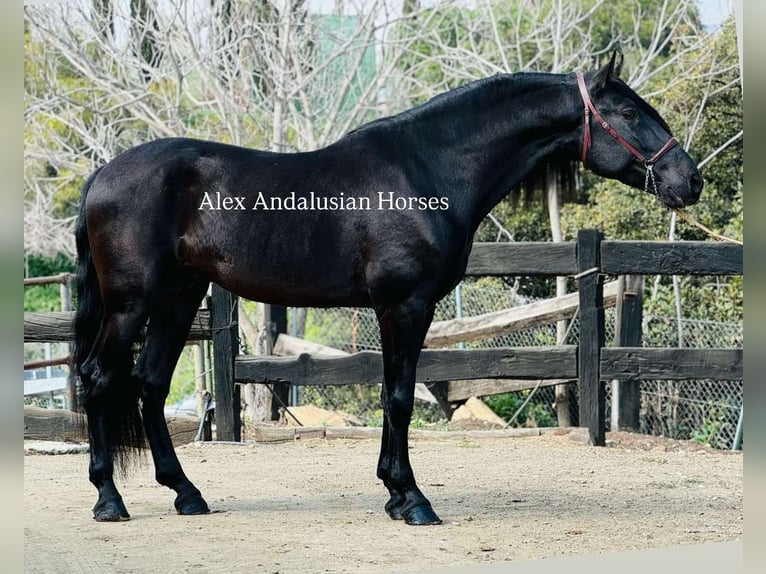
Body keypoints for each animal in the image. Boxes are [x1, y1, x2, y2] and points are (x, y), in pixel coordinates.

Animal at [70, 53, 704, 528]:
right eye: (629, 111)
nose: (689, 181)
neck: (428, 168)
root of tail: (100, 177)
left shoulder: (395, 310)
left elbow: (389, 393)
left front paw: (394, 494)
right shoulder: (406, 305)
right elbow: (398, 397)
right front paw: (413, 499)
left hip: (178, 299)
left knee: (149, 384)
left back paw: (186, 493)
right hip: (132, 303)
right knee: (100, 378)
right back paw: (109, 499)